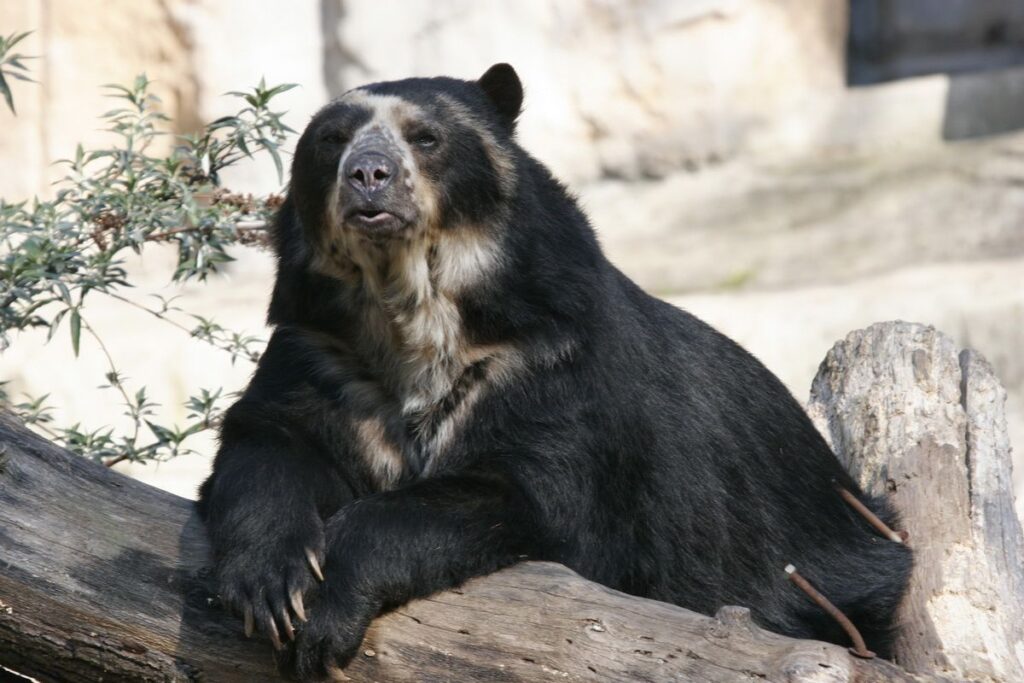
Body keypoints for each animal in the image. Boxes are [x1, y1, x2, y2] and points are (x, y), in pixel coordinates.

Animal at [198, 63, 912, 680]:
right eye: (331, 142)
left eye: (425, 138)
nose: (367, 175)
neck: (411, 314)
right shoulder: (321, 351)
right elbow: (269, 441)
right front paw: (275, 587)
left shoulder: (551, 362)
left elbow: (530, 492)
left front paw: (328, 610)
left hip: (824, 574)